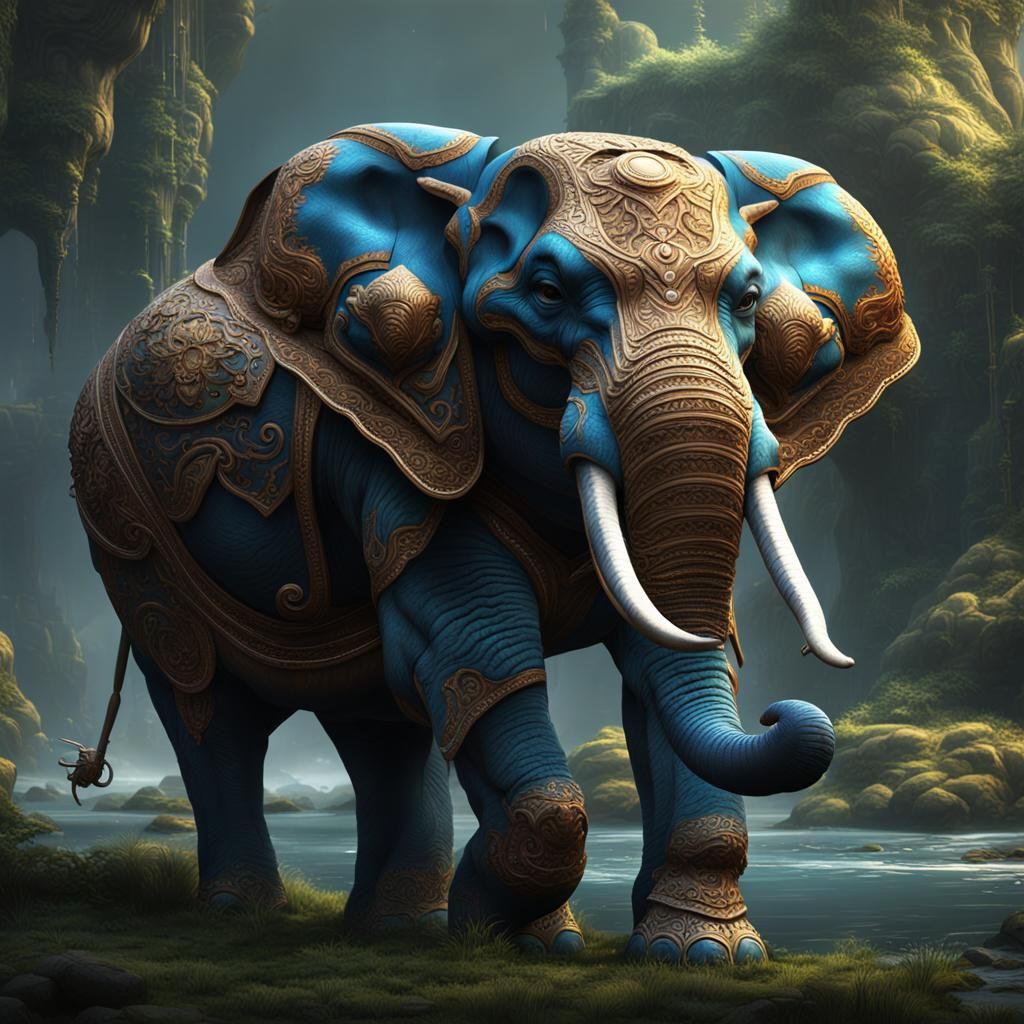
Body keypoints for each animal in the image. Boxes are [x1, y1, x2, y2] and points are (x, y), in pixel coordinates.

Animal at [68, 123, 918, 963]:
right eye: (546, 294)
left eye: (745, 299)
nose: (784, 709)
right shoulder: (399, 429)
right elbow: (476, 647)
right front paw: (496, 924)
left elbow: (664, 668)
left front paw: (699, 953)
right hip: (131, 537)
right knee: (208, 707)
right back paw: (245, 915)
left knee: (384, 730)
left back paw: (401, 929)